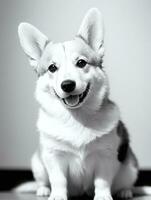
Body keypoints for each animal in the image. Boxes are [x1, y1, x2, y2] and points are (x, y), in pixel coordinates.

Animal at [17, 7, 150, 200]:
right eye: (52, 68)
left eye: (81, 63)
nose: (67, 85)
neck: (76, 117)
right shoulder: (54, 156)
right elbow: (58, 180)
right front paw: (57, 195)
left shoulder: (105, 157)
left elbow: (102, 181)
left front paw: (103, 196)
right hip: (37, 164)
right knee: (42, 181)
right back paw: (43, 189)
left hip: (130, 167)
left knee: (125, 183)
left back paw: (124, 191)